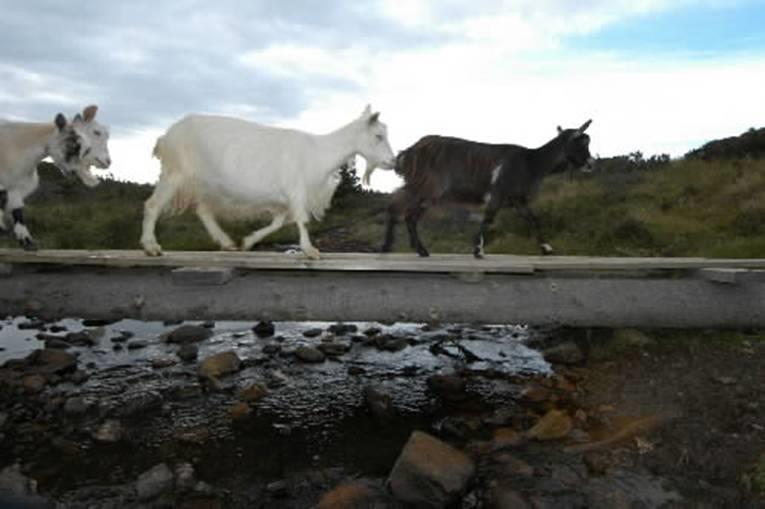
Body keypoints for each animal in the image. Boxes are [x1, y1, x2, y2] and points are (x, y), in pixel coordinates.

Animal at [0, 106, 110, 249]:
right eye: (97, 132)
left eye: (85, 148)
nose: (108, 161)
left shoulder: (15, 188)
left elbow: (17, 211)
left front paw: (27, 241)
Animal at [140, 105, 396, 260]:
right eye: (378, 136)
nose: (392, 162)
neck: (319, 151)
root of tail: (167, 136)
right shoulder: (296, 190)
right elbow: (301, 220)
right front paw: (310, 250)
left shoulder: (284, 199)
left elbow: (278, 222)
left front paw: (248, 241)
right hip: (176, 173)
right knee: (153, 205)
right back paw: (151, 246)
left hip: (207, 184)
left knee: (203, 211)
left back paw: (227, 243)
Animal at [380, 120, 592, 258]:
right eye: (581, 144)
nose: (591, 163)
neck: (531, 162)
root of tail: (408, 153)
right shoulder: (499, 192)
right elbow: (488, 218)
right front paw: (478, 250)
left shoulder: (517, 198)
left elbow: (533, 219)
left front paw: (546, 248)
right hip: (429, 187)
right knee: (405, 212)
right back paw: (409, 249)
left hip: (418, 186)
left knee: (399, 208)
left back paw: (398, 248)